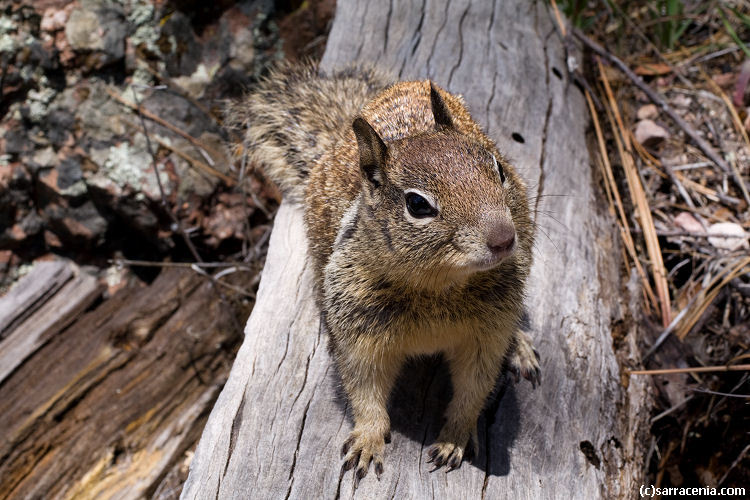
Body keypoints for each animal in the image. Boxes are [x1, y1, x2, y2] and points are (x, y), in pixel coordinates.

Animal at [232, 62, 544, 484]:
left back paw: (521, 345)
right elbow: (364, 388)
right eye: (417, 204)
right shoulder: (358, 330)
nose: (503, 238)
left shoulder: (487, 333)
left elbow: (473, 387)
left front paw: (455, 436)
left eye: (497, 169)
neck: (438, 285)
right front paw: (367, 439)